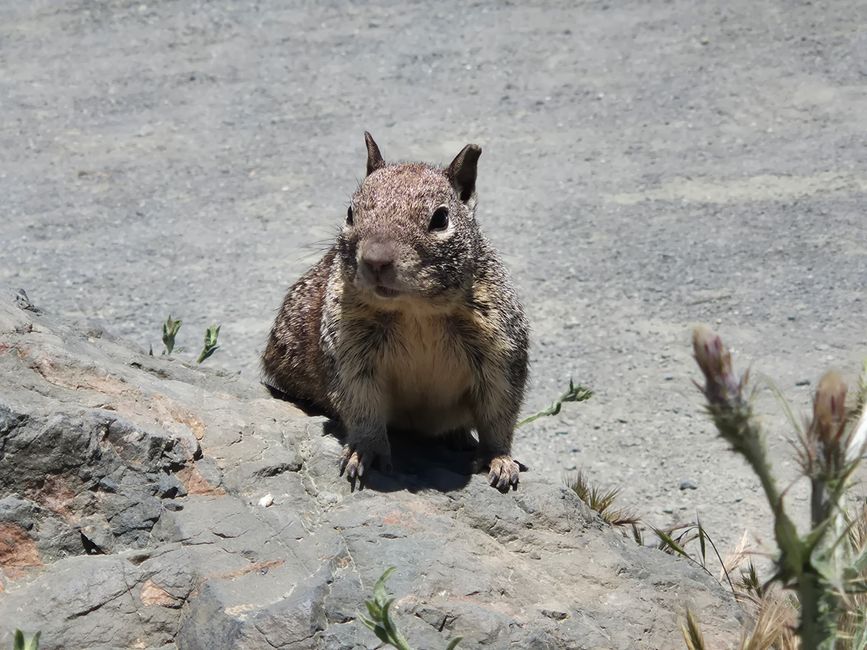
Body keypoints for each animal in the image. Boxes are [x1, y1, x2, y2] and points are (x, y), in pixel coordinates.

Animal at [261, 133, 529, 491]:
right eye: (350, 212)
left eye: (441, 219)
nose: (376, 260)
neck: (415, 310)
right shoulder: (351, 354)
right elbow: (362, 406)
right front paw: (365, 451)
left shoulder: (500, 349)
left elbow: (499, 413)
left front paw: (499, 459)